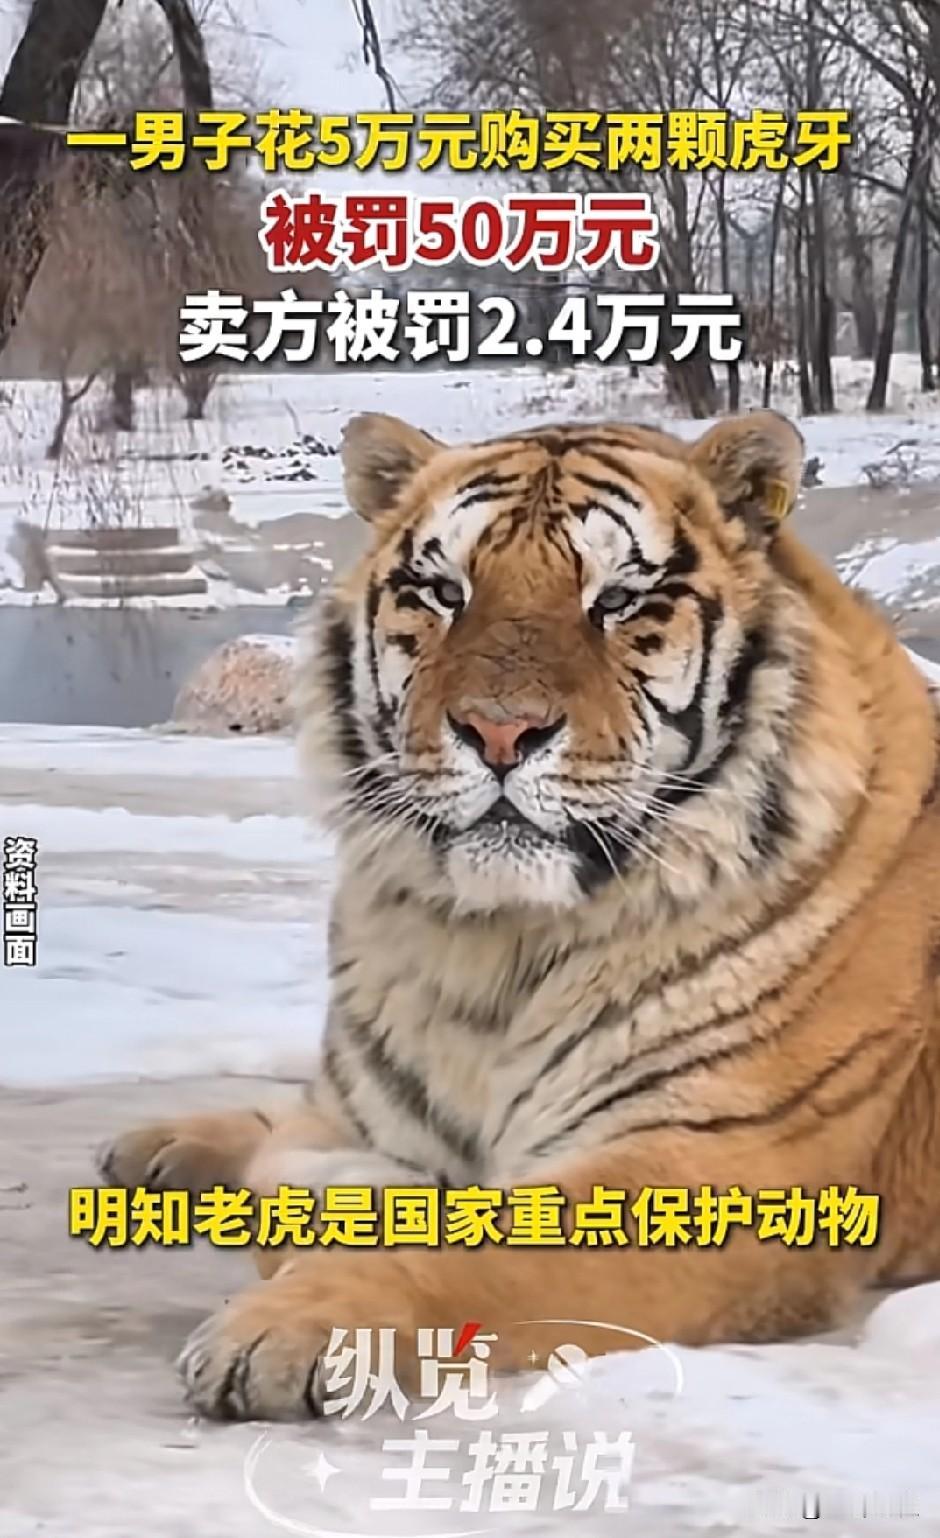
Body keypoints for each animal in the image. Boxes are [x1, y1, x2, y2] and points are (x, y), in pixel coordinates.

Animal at [101, 407, 940, 1422]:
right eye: (442, 592)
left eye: (620, 600)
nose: (500, 731)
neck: (497, 951)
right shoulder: (360, 1117)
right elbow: (303, 1169)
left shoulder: (723, 1165)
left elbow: (466, 1250)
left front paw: (277, 1329)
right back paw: (152, 1147)